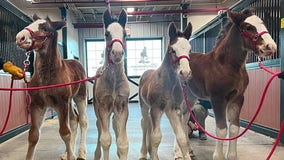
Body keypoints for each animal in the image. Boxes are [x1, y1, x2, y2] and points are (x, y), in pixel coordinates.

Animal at [15, 14, 88, 159]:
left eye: (45, 28)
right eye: (31, 23)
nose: (20, 37)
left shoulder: (61, 103)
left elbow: (65, 133)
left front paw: (72, 156)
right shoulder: (36, 105)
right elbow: (33, 135)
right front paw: (69, 154)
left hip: (80, 96)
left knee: (82, 120)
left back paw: (81, 153)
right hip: (69, 100)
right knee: (74, 120)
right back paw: (67, 152)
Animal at [92, 9, 130, 160]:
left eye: (125, 34)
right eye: (106, 34)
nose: (118, 53)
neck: (113, 82)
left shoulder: (122, 107)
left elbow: (123, 142)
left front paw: (121, 152)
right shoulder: (103, 107)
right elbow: (105, 140)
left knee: (114, 126)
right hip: (97, 110)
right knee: (99, 127)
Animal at [139, 21, 194, 160]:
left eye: (190, 50)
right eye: (172, 50)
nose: (185, 73)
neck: (168, 84)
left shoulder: (173, 110)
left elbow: (181, 137)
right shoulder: (156, 108)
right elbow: (156, 137)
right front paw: (153, 155)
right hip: (144, 106)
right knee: (145, 124)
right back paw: (143, 153)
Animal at [183, 9, 276, 160]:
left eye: (263, 22)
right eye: (248, 27)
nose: (271, 47)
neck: (226, 65)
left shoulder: (238, 98)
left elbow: (234, 128)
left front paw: (232, 155)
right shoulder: (218, 99)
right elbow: (221, 129)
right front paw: (218, 156)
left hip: (191, 97)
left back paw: (189, 151)